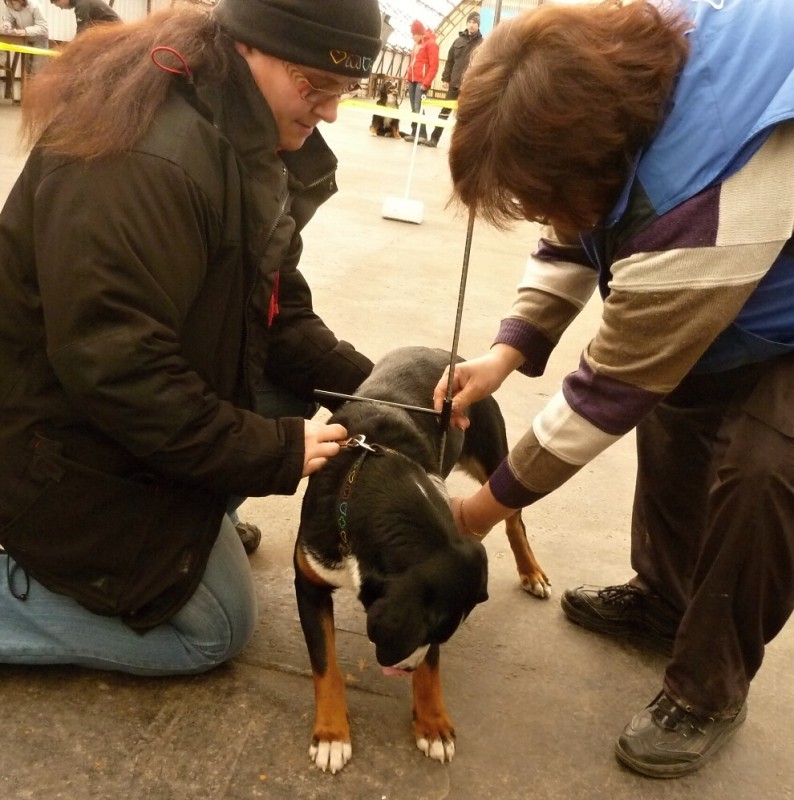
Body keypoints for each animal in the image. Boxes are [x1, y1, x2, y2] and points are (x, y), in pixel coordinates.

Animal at [294, 346, 548, 772]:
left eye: (437, 635)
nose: (404, 668)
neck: (369, 474)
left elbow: (432, 669)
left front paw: (433, 724)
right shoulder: (309, 582)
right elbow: (325, 665)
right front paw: (331, 734)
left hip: (493, 456)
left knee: (514, 518)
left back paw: (532, 572)